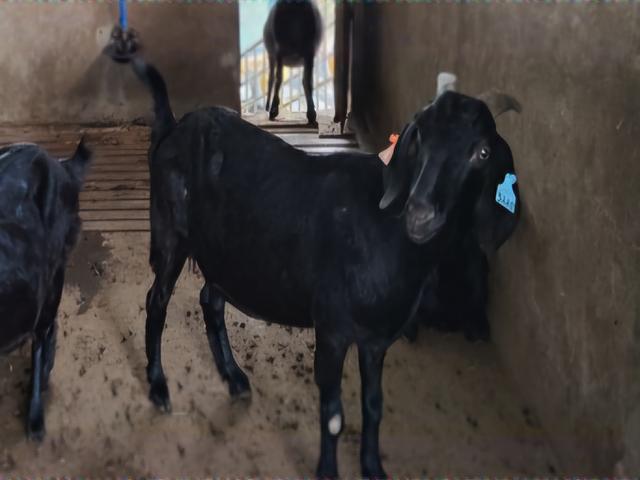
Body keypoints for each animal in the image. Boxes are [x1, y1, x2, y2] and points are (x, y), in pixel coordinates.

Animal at [109, 48, 519, 477]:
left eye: (482, 153)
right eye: (418, 139)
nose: (420, 213)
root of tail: (174, 128)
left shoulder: (377, 339)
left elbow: (374, 405)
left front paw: (372, 466)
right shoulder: (332, 327)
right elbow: (334, 412)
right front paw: (327, 470)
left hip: (226, 250)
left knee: (211, 300)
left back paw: (234, 378)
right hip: (170, 231)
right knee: (157, 301)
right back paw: (159, 387)